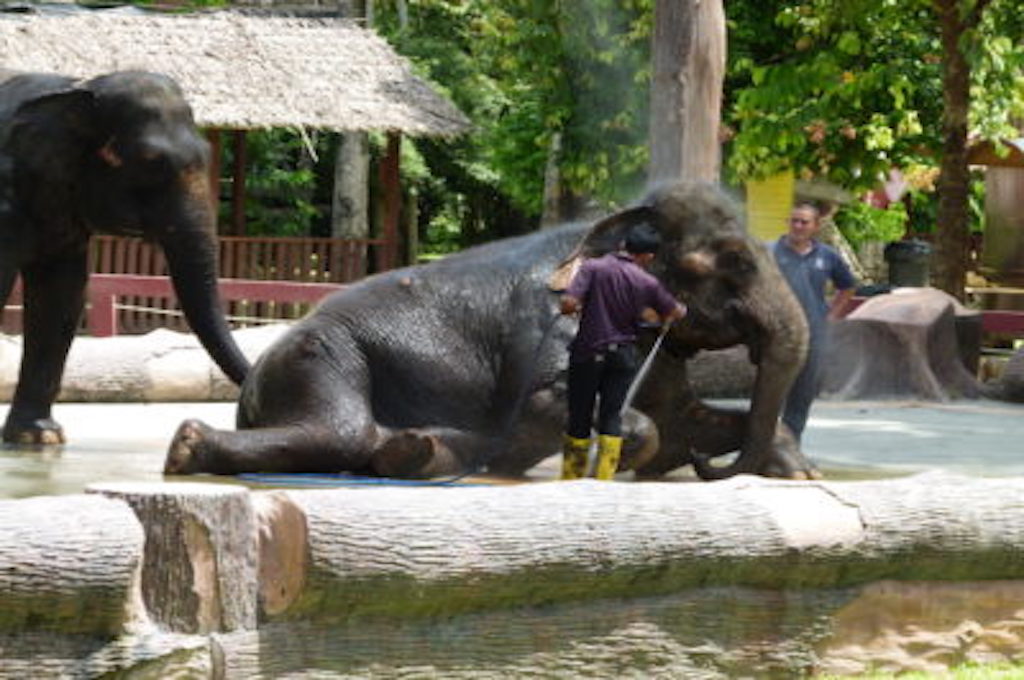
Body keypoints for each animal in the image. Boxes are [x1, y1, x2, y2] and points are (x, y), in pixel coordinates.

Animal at [165, 183, 815, 481]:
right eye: (734, 261)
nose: (707, 467)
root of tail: (251, 383)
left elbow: (683, 416)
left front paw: (796, 470)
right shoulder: (556, 325)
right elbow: (551, 405)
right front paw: (624, 460)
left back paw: (416, 453)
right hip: (320, 355)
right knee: (342, 433)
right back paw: (188, 446)